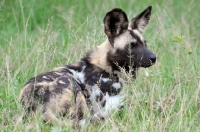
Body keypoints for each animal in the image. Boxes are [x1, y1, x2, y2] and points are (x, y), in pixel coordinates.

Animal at [19, 6, 156, 125]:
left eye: (145, 43)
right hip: (72, 85)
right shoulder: (105, 103)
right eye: (131, 46)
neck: (107, 66)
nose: (154, 58)